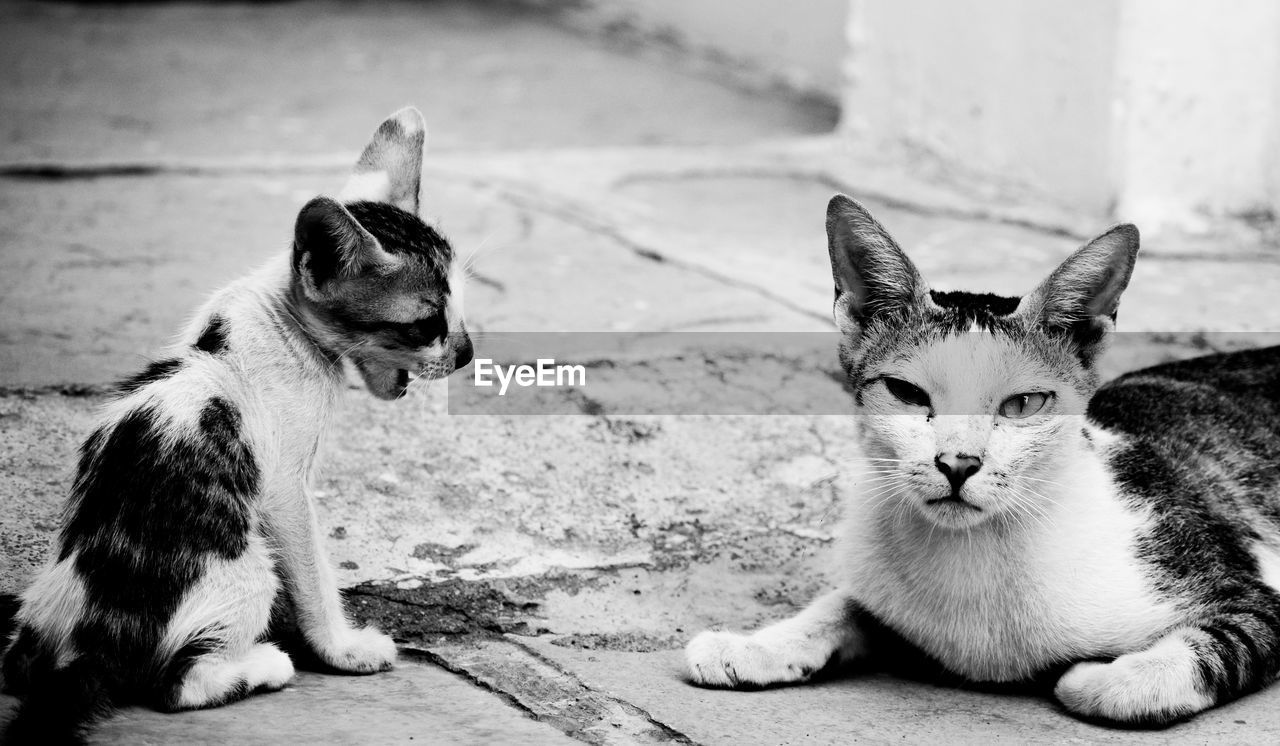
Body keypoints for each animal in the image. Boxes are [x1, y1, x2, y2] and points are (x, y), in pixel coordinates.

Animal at [2, 106, 473, 742]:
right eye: (425, 325)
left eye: (462, 310)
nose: (468, 353)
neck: (281, 314)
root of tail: (91, 645)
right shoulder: (284, 489)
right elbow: (314, 575)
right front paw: (342, 648)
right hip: (250, 566)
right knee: (177, 684)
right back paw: (263, 664)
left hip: (45, 602)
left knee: (18, 662)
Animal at [691, 195, 1280, 726]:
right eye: (907, 393)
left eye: (1024, 404)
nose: (957, 463)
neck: (977, 552)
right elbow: (842, 603)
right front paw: (753, 645)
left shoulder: (1252, 594)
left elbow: (1194, 654)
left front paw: (1100, 675)